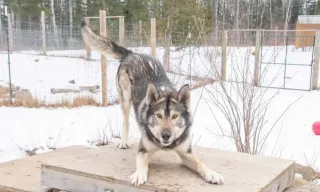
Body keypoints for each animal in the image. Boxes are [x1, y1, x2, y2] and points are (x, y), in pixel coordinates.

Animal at [81, 20, 224, 186]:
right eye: (159, 115)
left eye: (175, 116)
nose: (166, 135)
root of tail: (133, 53)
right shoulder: (143, 150)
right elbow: (142, 164)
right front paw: (139, 174)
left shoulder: (186, 154)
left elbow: (200, 164)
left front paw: (211, 173)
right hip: (126, 99)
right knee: (125, 122)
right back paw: (123, 141)